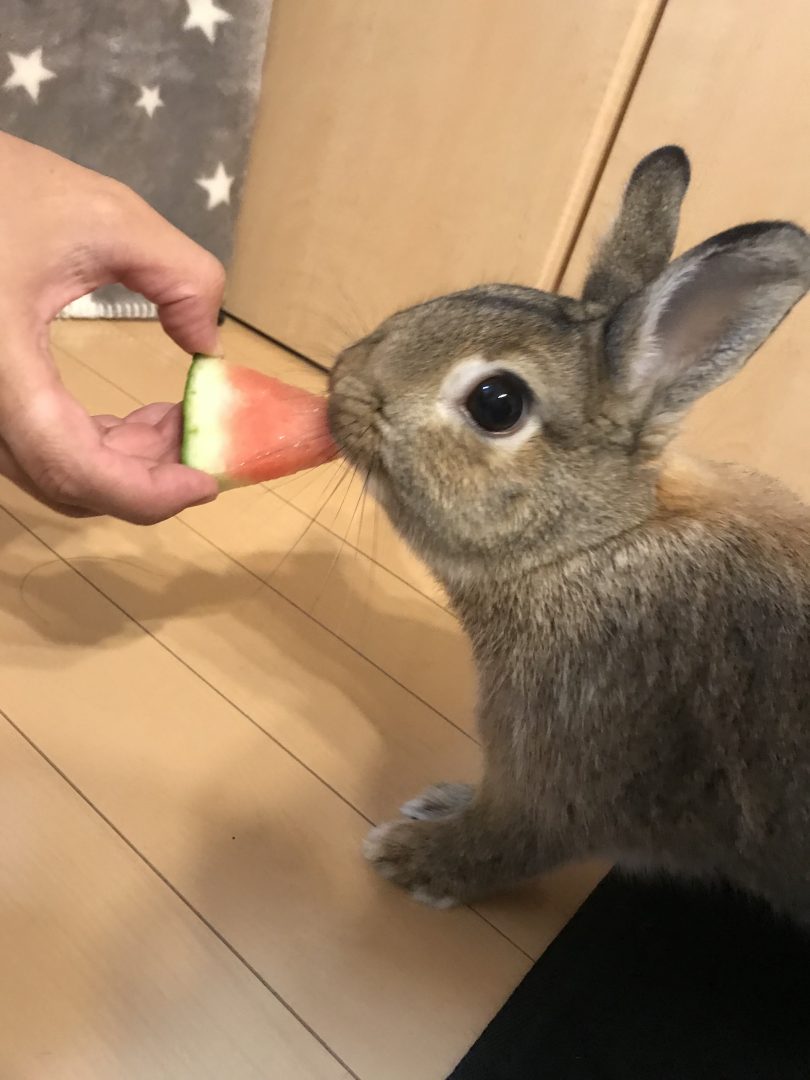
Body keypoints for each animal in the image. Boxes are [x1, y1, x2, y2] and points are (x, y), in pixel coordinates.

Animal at [328, 145, 810, 920]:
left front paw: (410, 856)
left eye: (497, 402)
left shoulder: (558, 779)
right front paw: (439, 804)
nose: (340, 378)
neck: (590, 543)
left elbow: (508, 839)